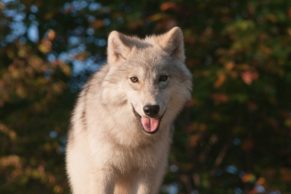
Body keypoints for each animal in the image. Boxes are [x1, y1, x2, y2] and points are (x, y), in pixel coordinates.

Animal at [66, 26, 194, 194]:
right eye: (134, 79)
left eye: (163, 78)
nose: (151, 109)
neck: (131, 140)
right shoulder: (104, 171)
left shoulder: (147, 174)